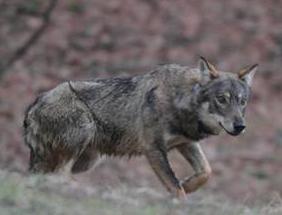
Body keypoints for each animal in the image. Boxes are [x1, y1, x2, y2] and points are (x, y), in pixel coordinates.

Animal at [23, 57, 258, 198]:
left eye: (242, 101)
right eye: (222, 99)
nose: (240, 126)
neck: (180, 99)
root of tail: (34, 105)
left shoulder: (185, 143)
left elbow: (206, 172)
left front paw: (188, 184)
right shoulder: (154, 149)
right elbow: (175, 188)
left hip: (87, 160)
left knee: (48, 176)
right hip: (83, 135)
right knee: (59, 175)